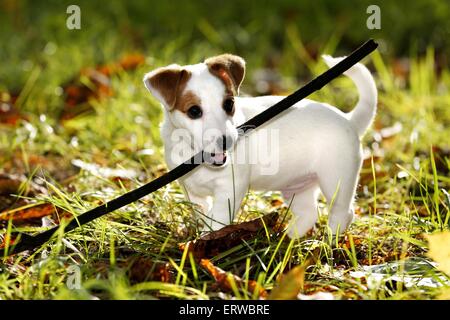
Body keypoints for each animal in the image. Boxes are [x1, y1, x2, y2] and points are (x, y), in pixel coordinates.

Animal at [144, 53, 376, 238]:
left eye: (229, 104)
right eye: (194, 111)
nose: (227, 141)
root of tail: (349, 120)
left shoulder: (230, 189)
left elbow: (216, 220)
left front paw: (203, 242)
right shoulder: (192, 192)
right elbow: (202, 213)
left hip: (337, 181)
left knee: (343, 213)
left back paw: (328, 241)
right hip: (298, 187)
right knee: (309, 213)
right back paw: (287, 238)